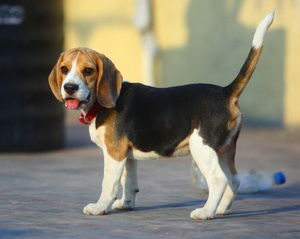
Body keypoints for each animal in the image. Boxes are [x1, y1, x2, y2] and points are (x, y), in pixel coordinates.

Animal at [48, 12, 274, 219]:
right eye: (64, 69)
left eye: (88, 71)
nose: (69, 87)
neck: (99, 106)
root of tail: (225, 92)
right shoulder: (126, 154)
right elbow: (129, 181)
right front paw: (126, 204)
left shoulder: (114, 153)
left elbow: (109, 183)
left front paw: (100, 207)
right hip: (224, 149)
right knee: (234, 179)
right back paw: (222, 209)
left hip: (202, 148)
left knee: (219, 180)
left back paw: (205, 212)